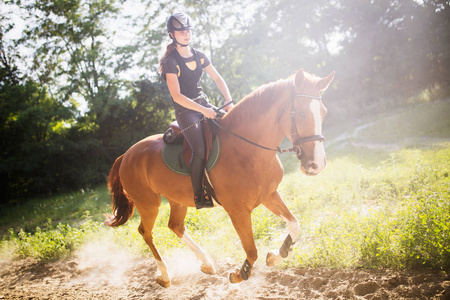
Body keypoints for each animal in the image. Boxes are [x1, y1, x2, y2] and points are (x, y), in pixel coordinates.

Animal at [105, 69, 334, 288]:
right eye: (301, 113)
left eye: (324, 112)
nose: (317, 164)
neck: (246, 149)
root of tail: (125, 155)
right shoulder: (237, 211)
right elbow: (251, 250)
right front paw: (240, 274)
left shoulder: (269, 195)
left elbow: (295, 225)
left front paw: (276, 255)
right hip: (148, 204)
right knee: (145, 232)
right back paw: (165, 275)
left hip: (176, 200)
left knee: (175, 226)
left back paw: (206, 263)